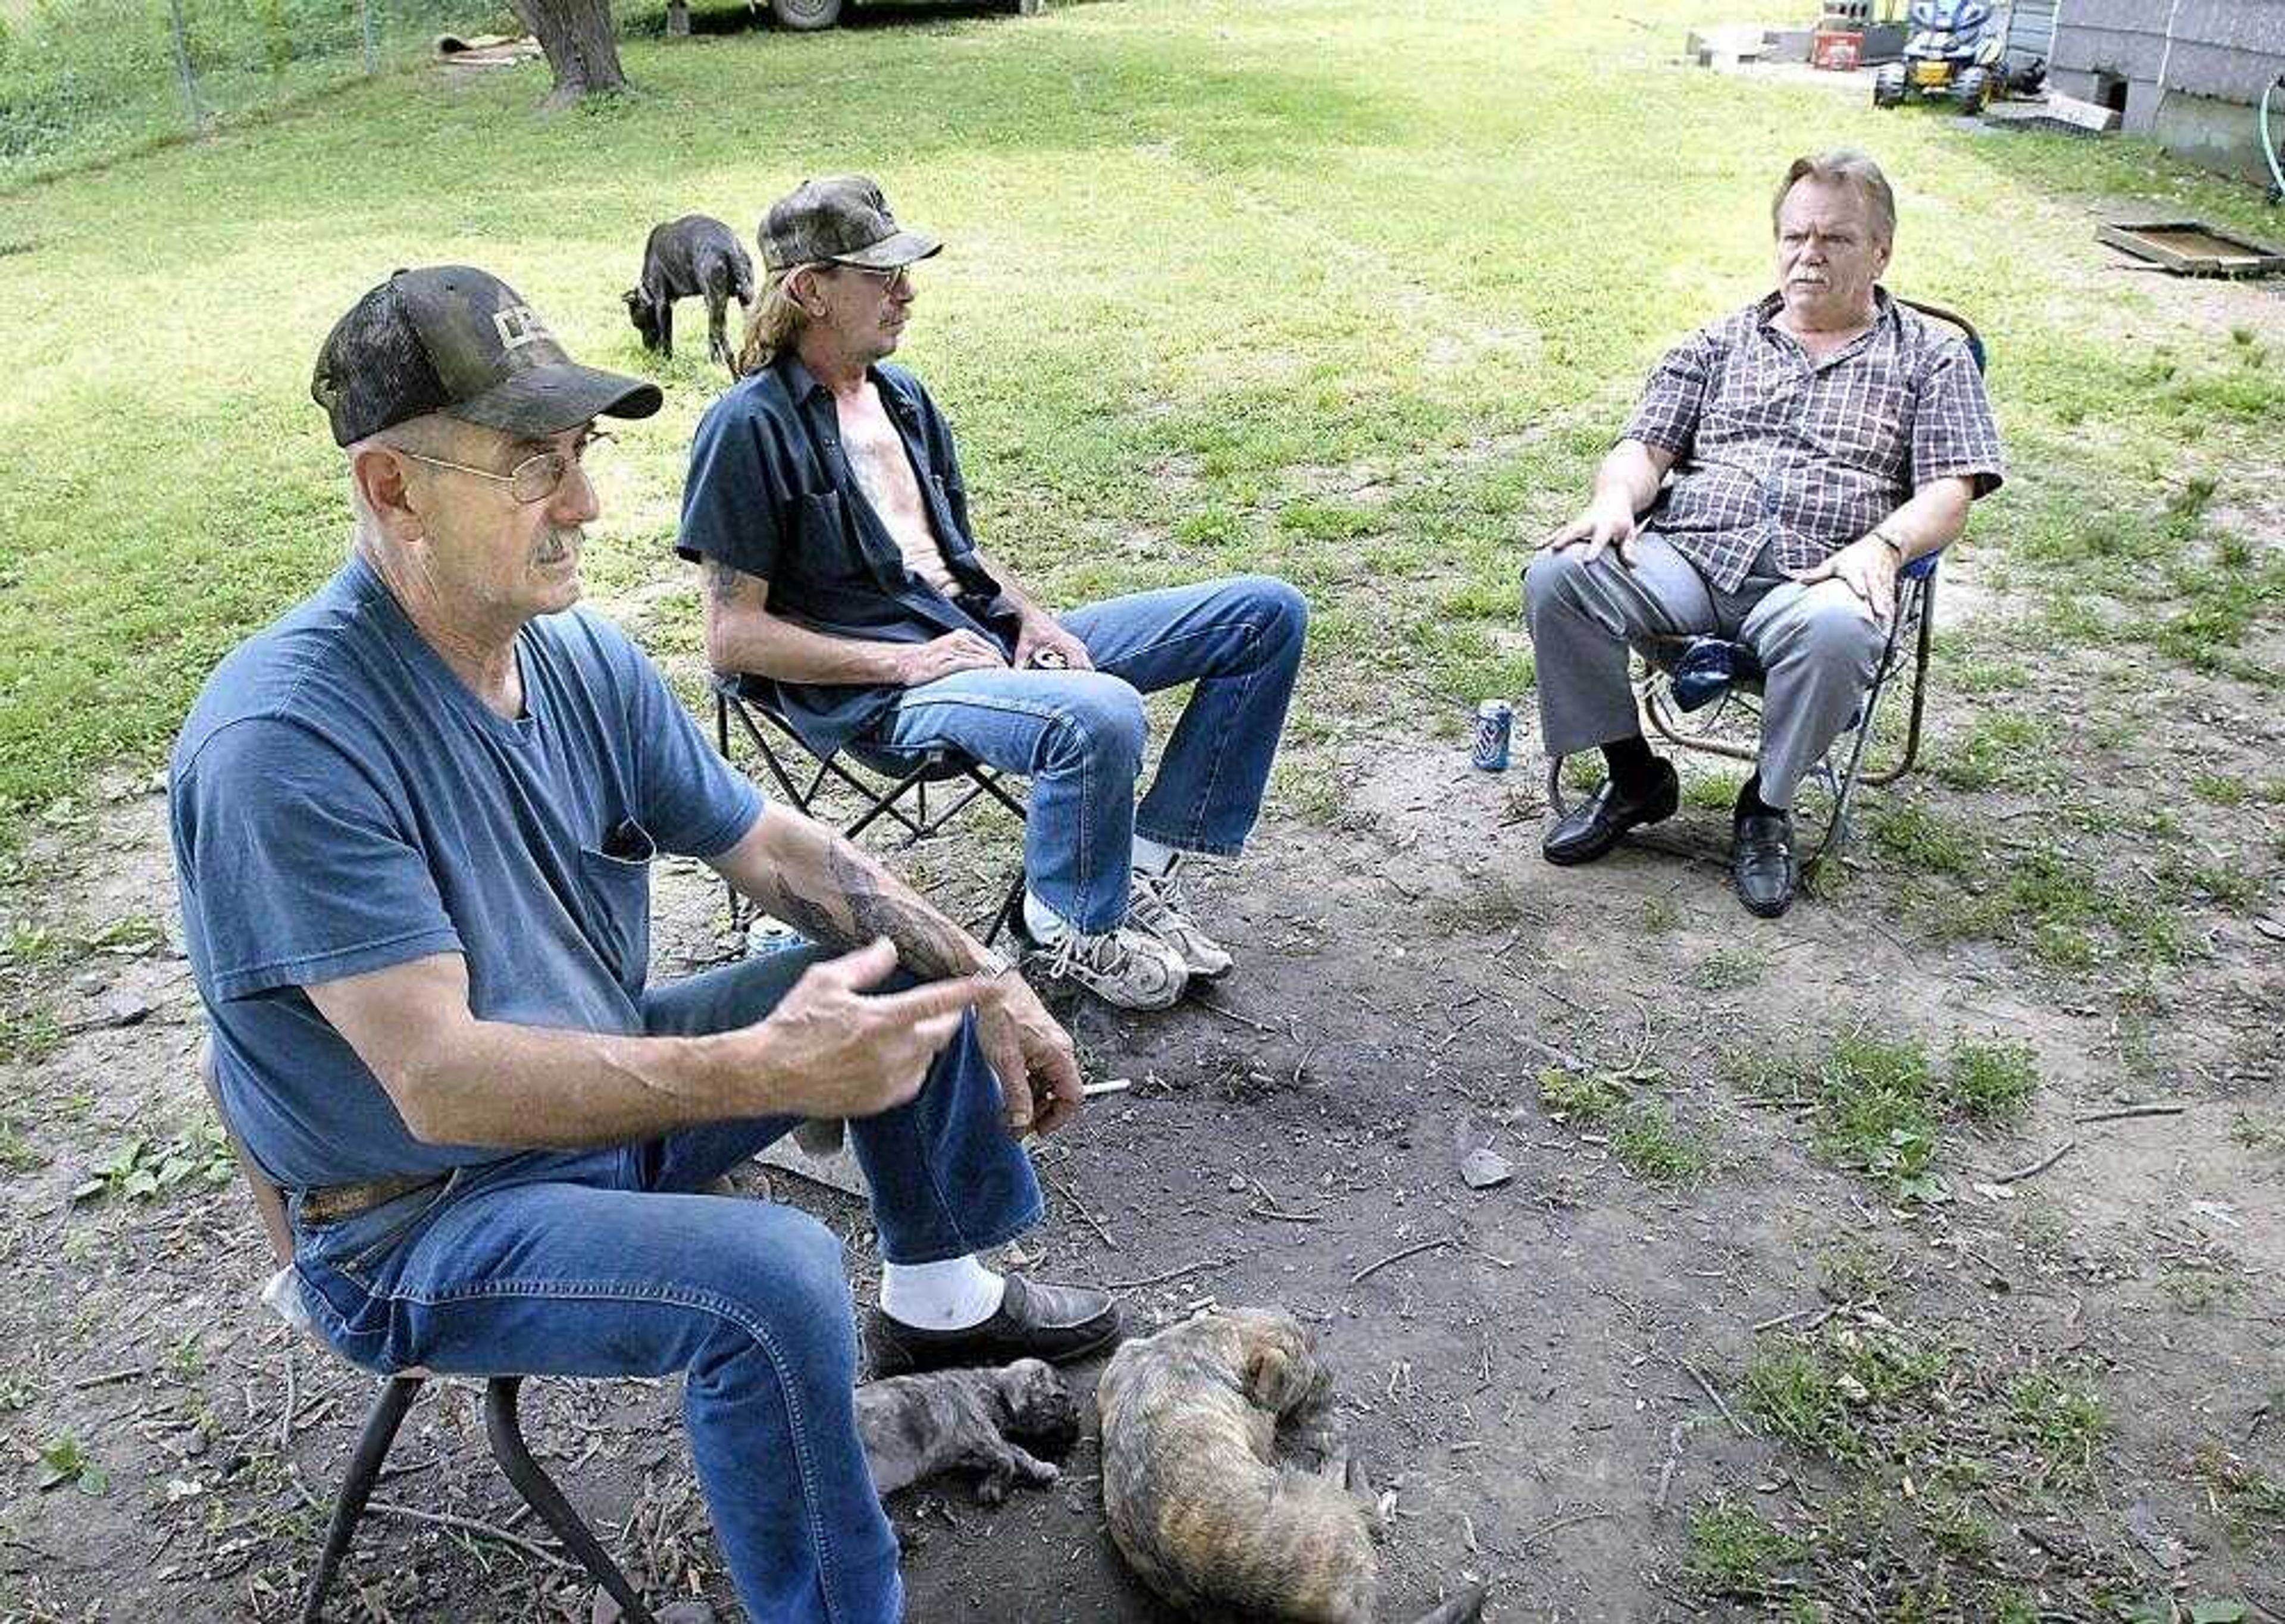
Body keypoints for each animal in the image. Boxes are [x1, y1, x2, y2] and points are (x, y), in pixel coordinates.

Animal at [621, 215, 754, 374]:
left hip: (715, 304)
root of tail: (731, 248)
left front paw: (665, 361)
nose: (648, 350)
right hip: (740, 303)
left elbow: (665, 336)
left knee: (721, 341)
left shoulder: (662, 305)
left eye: (638, 325)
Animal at [859, 1352, 1078, 1507]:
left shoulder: (974, 1447)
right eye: (1059, 1397)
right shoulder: (979, 1432)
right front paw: (992, 1488)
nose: (1078, 1413)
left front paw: (1042, 1468)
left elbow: (1017, 1452)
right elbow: (1009, 1457)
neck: (993, 1388)